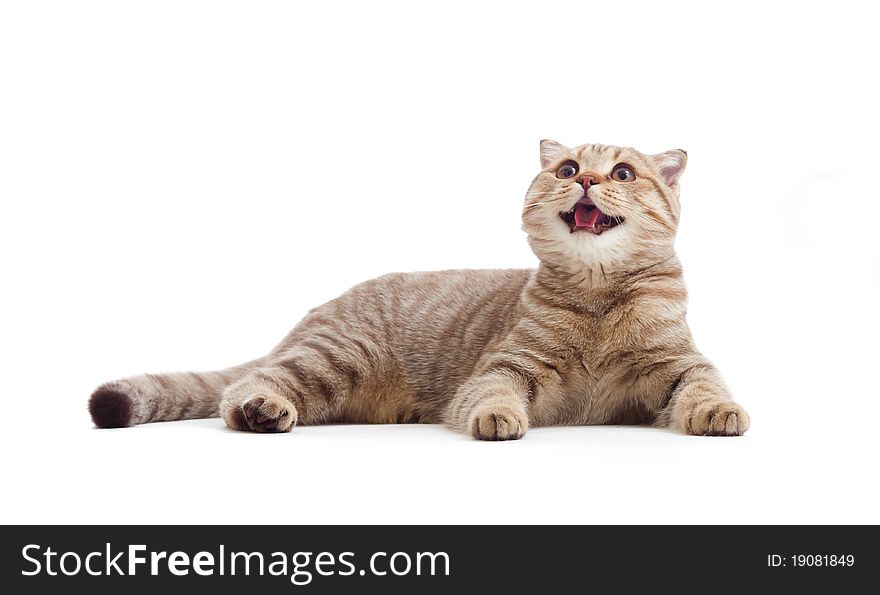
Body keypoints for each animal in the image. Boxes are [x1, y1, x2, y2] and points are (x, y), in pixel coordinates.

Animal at [87, 140, 748, 438]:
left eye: (622, 173)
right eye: (565, 170)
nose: (584, 179)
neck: (598, 298)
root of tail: (314, 314)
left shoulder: (679, 364)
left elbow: (705, 387)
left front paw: (719, 411)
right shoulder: (507, 366)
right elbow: (494, 393)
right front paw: (498, 417)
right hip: (335, 357)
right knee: (246, 386)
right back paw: (262, 409)